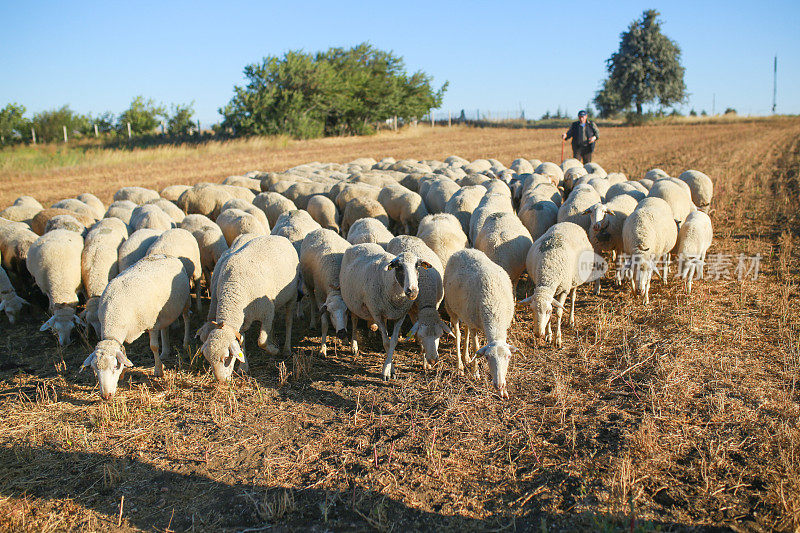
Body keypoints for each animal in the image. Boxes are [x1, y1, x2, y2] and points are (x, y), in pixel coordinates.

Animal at [81, 255, 192, 400]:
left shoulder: (152, 323)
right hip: (164, 311)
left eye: (114, 367)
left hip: (185, 301)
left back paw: (185, 342)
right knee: (165, 328)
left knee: (186, 318)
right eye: (95, 369)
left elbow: (153, 346)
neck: (114, 313)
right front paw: (124, 372)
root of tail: (165, 255)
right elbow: (123, 350)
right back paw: (165, 351)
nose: (106, 396)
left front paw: (158, 370)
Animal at [200, 235, 300, 380]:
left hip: (292, 296)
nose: (221, 381)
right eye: (208, 359)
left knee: (288, 322)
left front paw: (274, 350)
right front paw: (243, 368)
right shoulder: (241, 322)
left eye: (226, 357)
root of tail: (278, 236)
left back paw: (286, 348)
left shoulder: (266, 312)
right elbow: (242, 343)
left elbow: (261, 341)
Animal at [340, 241, 432, 378]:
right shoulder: (377, 314)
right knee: (355, 321)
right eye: (398, 267)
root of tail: (360, 244)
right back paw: (354, 346)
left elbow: (393, 342)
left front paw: (391, 369)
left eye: (417, 266)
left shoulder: (400, 315)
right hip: (352, 302)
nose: (413, 291)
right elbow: (386, 343)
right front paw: (386, 372)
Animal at [444, 248, 520, 394]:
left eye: (508, 357)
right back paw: (460, 365)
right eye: (487, 357)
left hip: (467, 313)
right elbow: (476, 348)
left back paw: (466, 357)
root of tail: (464, 250)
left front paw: (503, 392)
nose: (499, 385)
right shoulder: (474, 326)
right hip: (451, 309)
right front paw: (475, 373)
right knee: (458, 335)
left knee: (466, 330)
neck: (495, 310)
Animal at [524, 221, 600, 350]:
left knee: (573, 298)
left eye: (548, 311)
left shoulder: (564, 289)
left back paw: (571, 320)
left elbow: (559, 312)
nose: (538, 334)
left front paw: (557, 339)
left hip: (574, 281)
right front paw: (548, 335)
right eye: (531, 309)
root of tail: (569, 222)